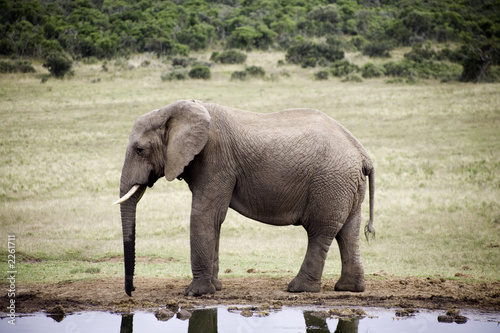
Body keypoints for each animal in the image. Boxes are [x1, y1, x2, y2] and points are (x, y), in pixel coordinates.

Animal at [116, 98, 376, 296]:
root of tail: (363, 154)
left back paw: (298, 288)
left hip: (330, 182)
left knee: (320, 232)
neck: (176, 110)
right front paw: (216, 288)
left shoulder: (216, 160)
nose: (132, 290)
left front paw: (195, 293)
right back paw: (348, 288)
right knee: (348, 232)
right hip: (346, 184)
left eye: (140, 150)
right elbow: (214, 220)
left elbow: (205, 215)